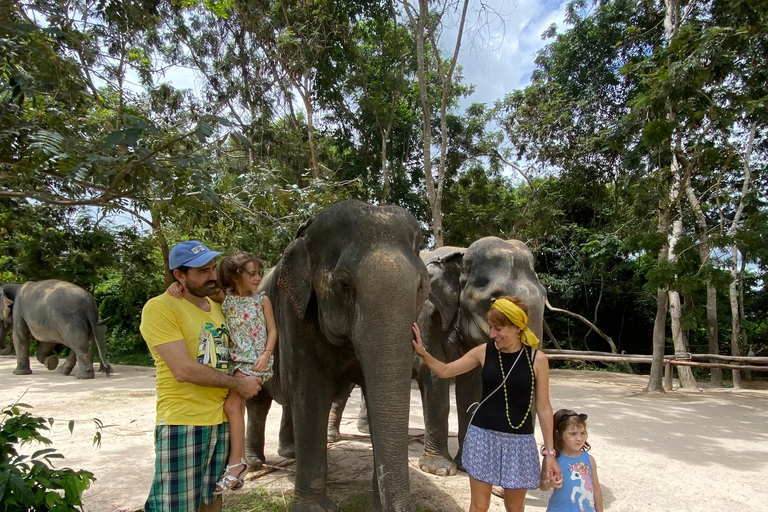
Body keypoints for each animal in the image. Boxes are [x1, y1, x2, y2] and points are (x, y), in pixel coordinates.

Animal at [244, 200, 430, 512]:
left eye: (420, 286)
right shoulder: (291, 314)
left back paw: (290, 454)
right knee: (258, 401)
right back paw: (254, 465)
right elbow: (311, 391)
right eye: (344, 285)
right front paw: (314, 508)